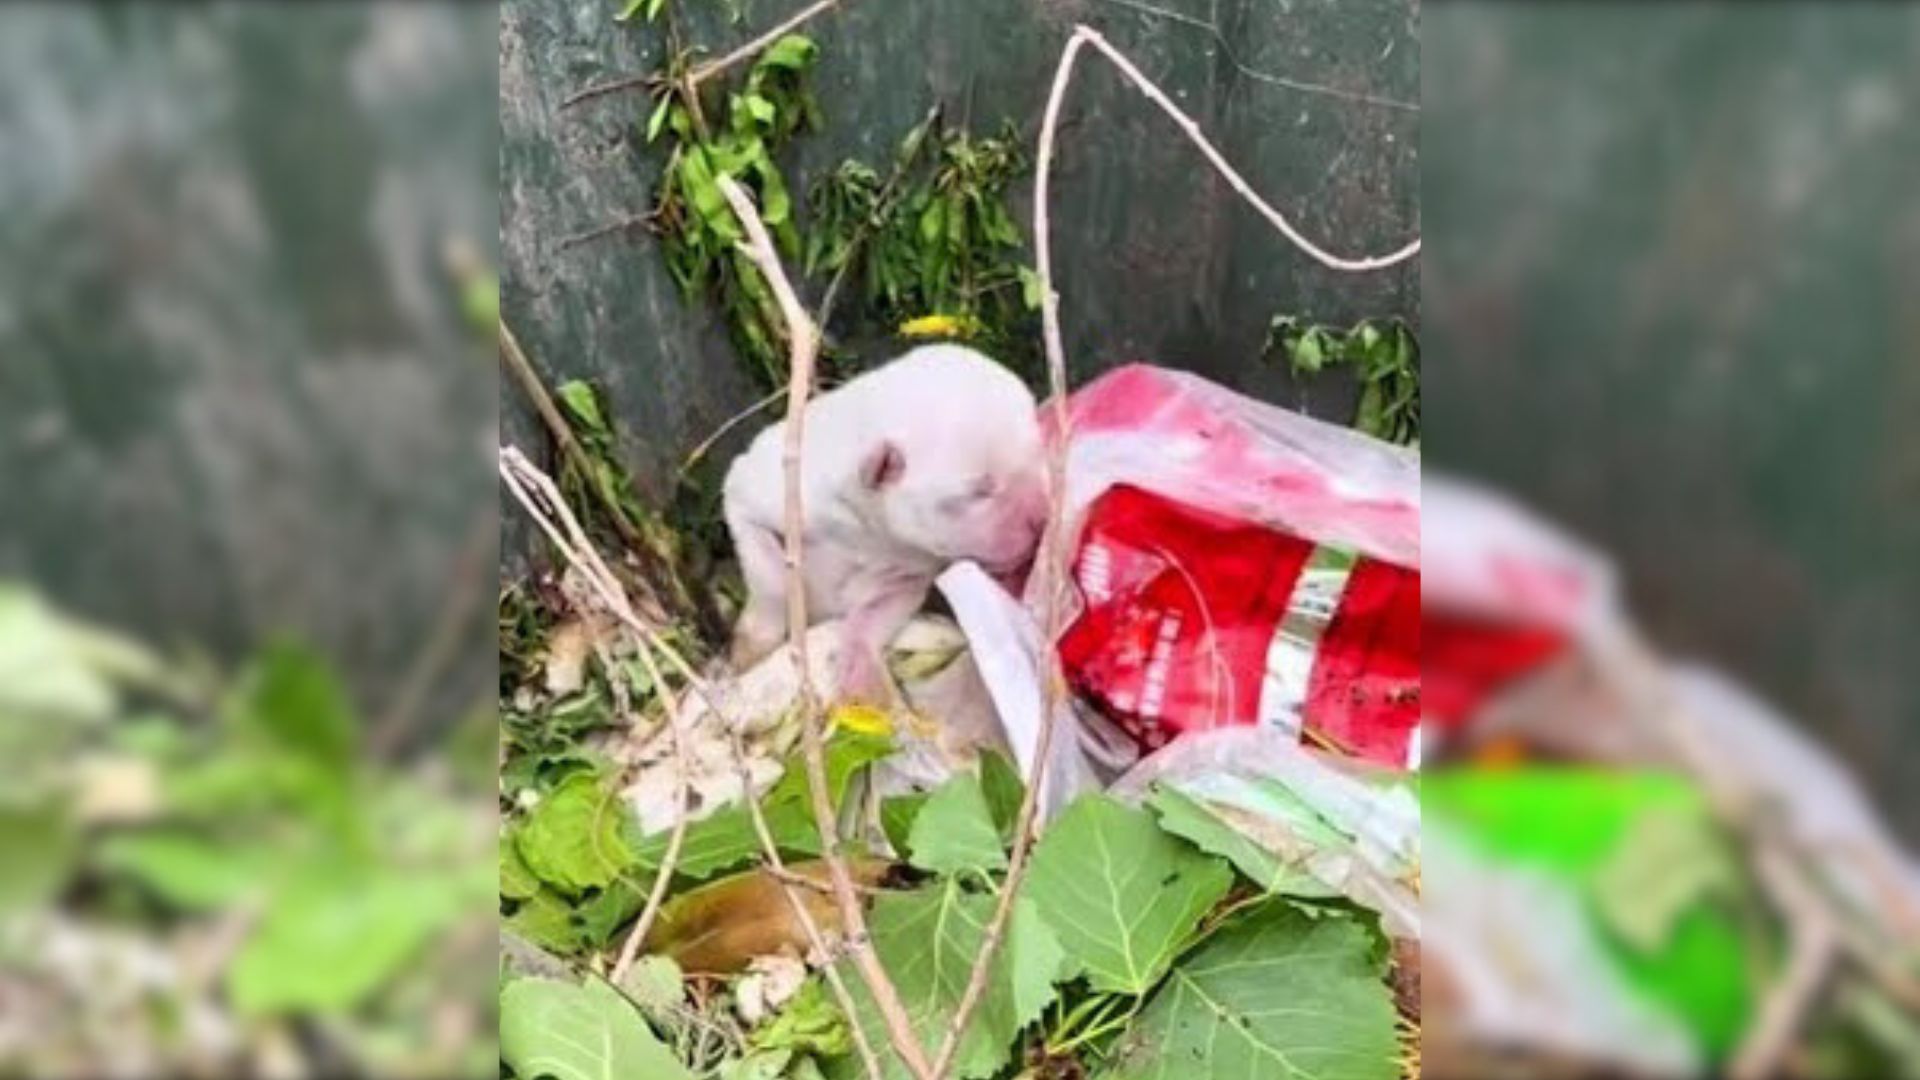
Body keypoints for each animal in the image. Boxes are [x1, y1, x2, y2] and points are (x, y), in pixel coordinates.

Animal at [721, 340, 1052, 703]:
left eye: (1039, 452)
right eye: (980, 491)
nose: (1043, 519)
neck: (868, 532)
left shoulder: (906, 575)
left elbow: (873, 615)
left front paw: (862, 674)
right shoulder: (758, 491)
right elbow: (769, 577)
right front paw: (753, 647)